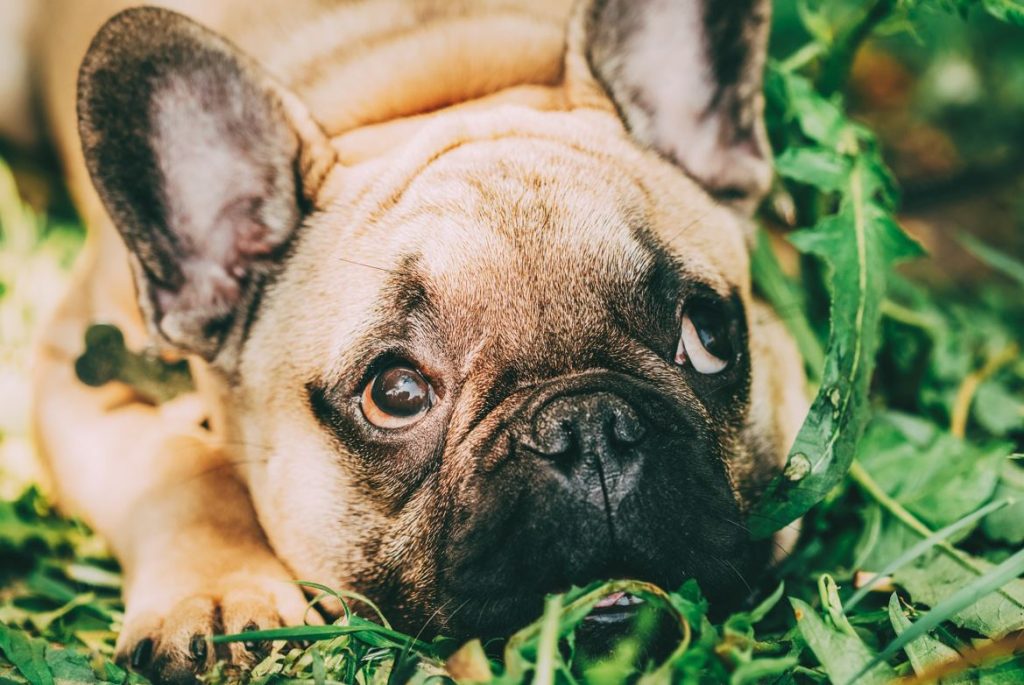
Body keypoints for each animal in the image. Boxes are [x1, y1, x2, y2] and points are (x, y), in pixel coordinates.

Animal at [28, 0, 802, 679]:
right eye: (396, 392)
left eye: (706, 336)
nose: (589, 427)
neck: (428, 90)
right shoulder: (73, 365)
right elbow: (180, 465)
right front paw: (218, 596)